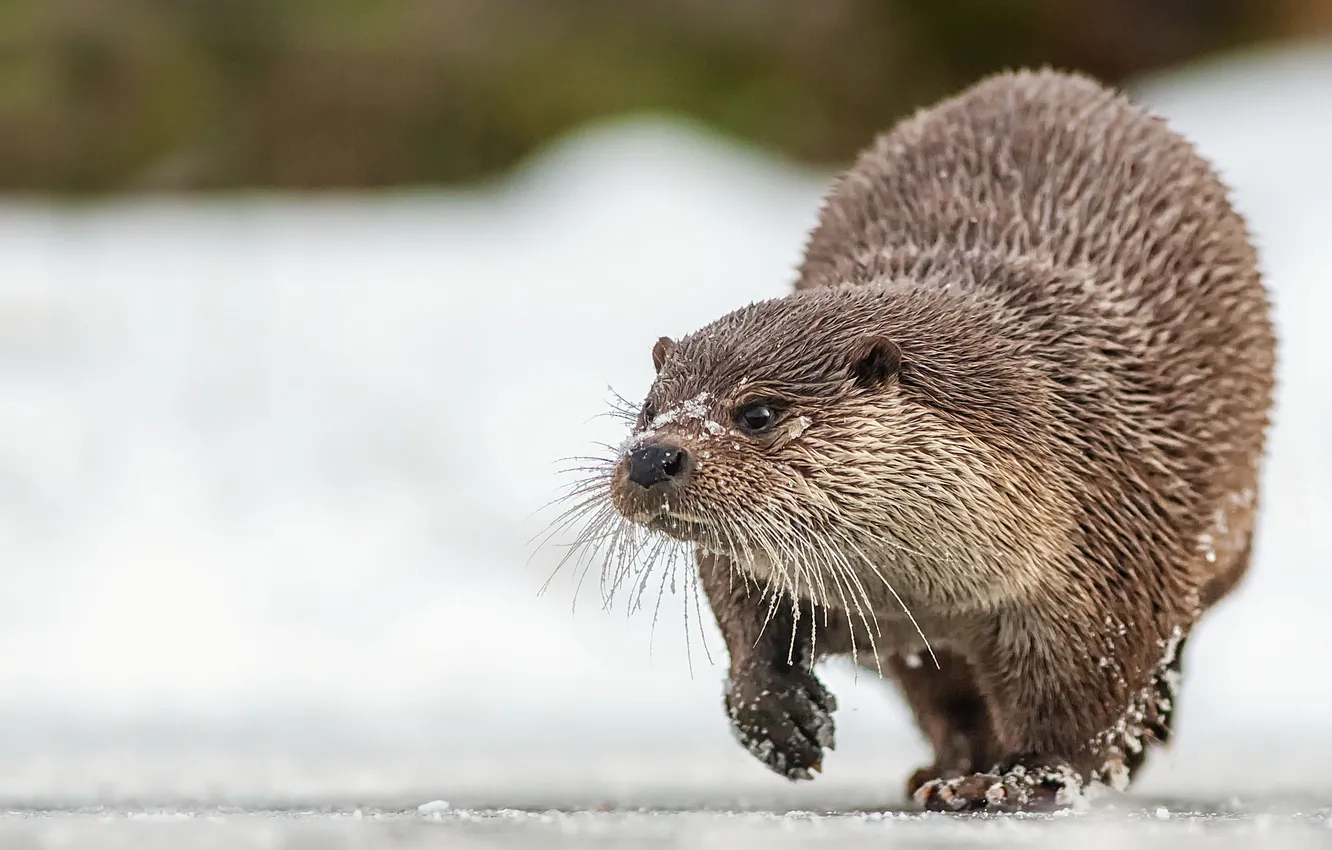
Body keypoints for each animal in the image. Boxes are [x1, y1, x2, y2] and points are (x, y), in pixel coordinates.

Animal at [585, 69, 1275, 811]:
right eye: (647, 410)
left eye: (759, 414)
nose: (651, 457)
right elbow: (743, 606)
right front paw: (774, 712)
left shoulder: (1110, 547)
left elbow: (1082, 698)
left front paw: (1020, 780)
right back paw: (940, 767)